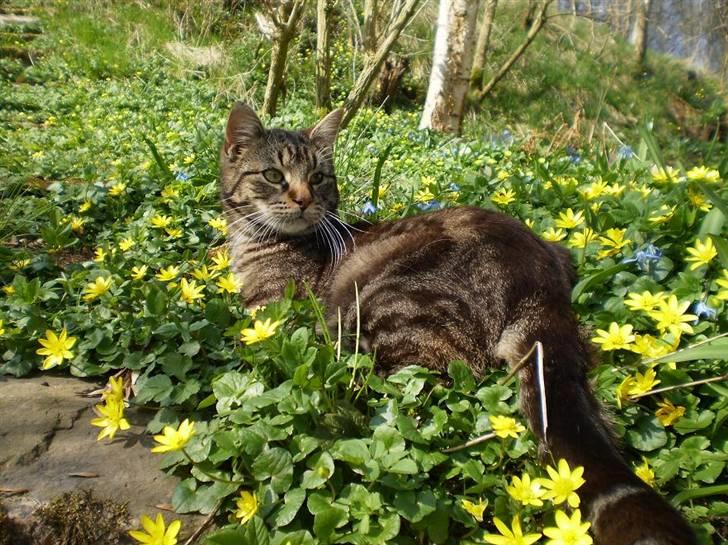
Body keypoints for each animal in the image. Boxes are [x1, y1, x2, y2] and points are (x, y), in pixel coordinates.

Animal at [219, 103, 696, 544]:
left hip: (387, 308)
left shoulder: (275, 312)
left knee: (411, 388)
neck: (257, 244)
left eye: (317, 177)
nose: (304, 199)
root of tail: (544, 280)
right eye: (274, 175)